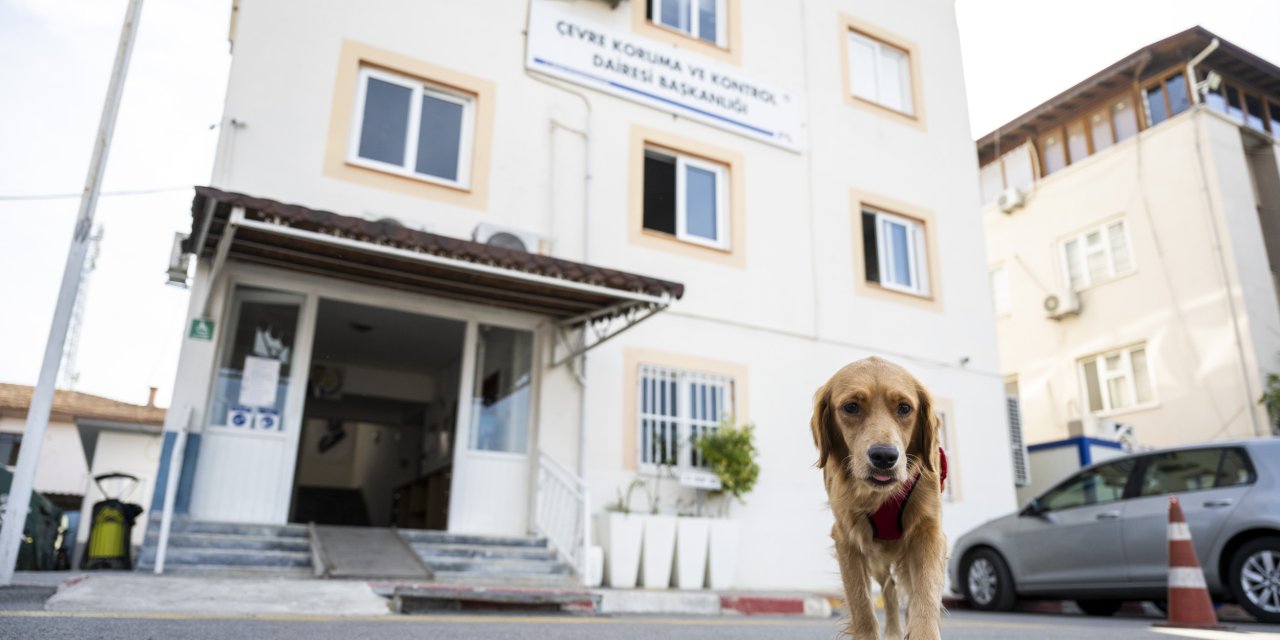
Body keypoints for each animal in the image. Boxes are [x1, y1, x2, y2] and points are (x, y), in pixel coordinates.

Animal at [814, 358, 947, 637]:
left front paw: (922, 632)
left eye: (905, 408)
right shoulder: (847, 538)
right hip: (877, 557)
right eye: (851, 407)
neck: (880, 497)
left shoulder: (929, 532)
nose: (885, 457)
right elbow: (862, 605)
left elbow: (925, 593)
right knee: (890, 592)